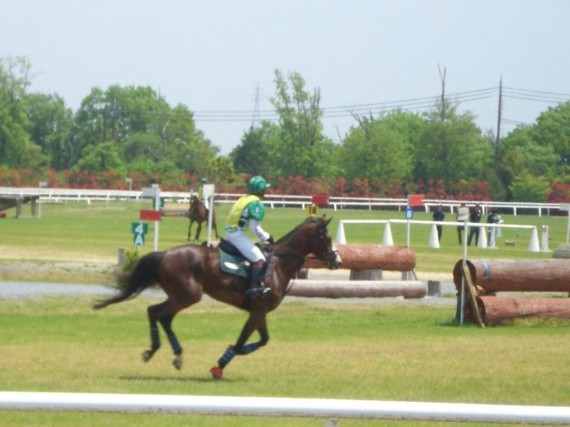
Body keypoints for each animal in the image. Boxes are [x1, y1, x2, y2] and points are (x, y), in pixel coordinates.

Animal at [92, 217, 340, 382]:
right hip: (187, 296)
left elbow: (263, 340)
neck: (279, 264)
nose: (337, 261)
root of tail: (165, 254)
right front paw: (220, 365)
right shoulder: (257, 311)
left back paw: (175, 355)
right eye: (327, 237)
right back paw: (155, 350)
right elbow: (242, 340)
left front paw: (230, 355)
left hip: (181, 296)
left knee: (163, 317)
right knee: (155, 312)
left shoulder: (259, 312)